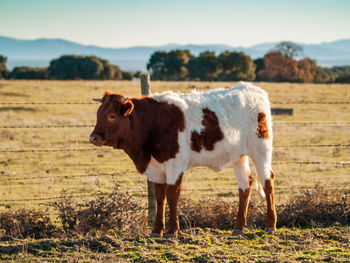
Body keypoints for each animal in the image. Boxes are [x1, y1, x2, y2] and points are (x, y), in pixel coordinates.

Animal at [90, 81, 276, 238]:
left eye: (112, 116)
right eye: (98, 113)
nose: (93, 138)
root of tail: (253, 89)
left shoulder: (175, 164)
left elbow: (172, 195)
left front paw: (172, 231)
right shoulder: (156, 168)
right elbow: (160, 197)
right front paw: (156, 231)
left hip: (261, 151)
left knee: (267, 182)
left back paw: (270, 225)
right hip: (238, 156)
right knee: (245, 186)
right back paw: (238, 228)